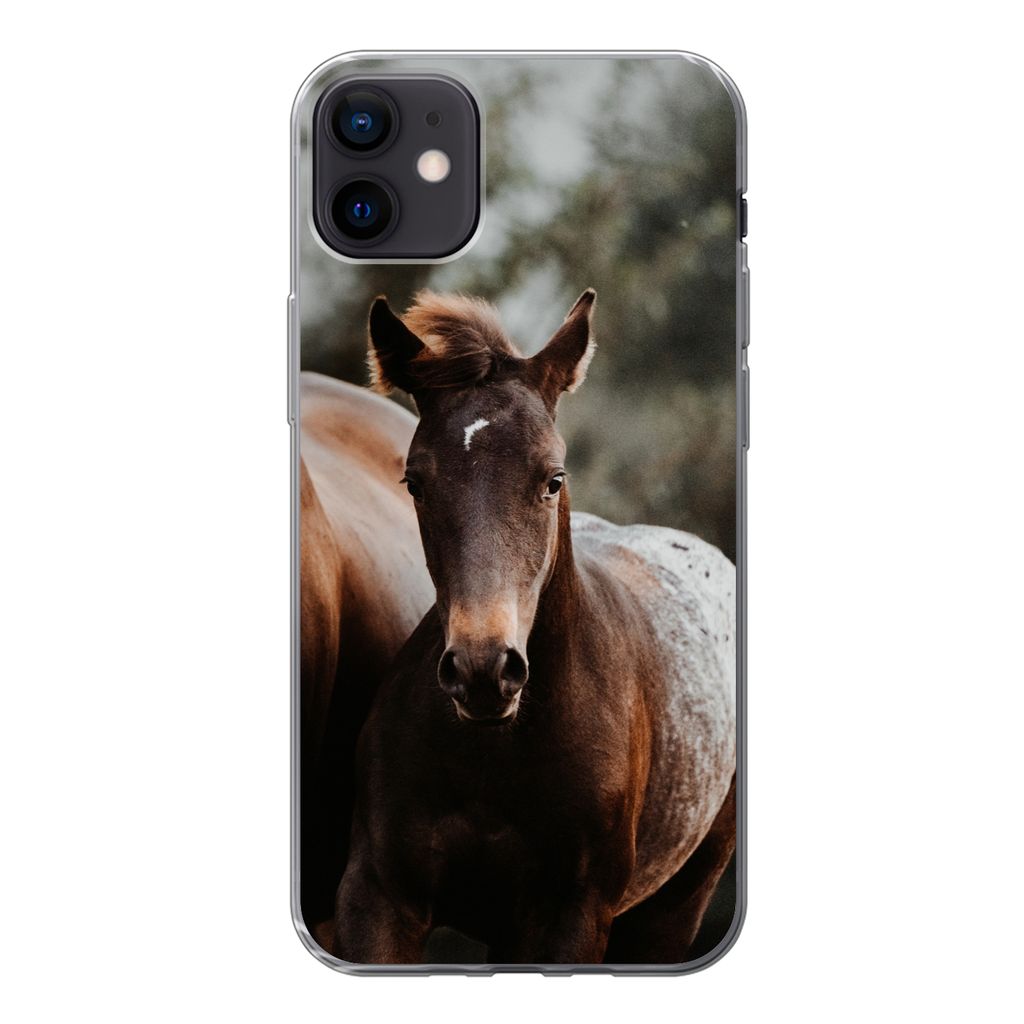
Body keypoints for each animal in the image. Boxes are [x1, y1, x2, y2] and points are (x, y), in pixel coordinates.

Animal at [333, 291, 737, 965]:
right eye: (415, 481)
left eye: (553, 479)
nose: (483, 671)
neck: (499, 751)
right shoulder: (380, 894)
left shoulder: (570, 917)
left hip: (671, 913)